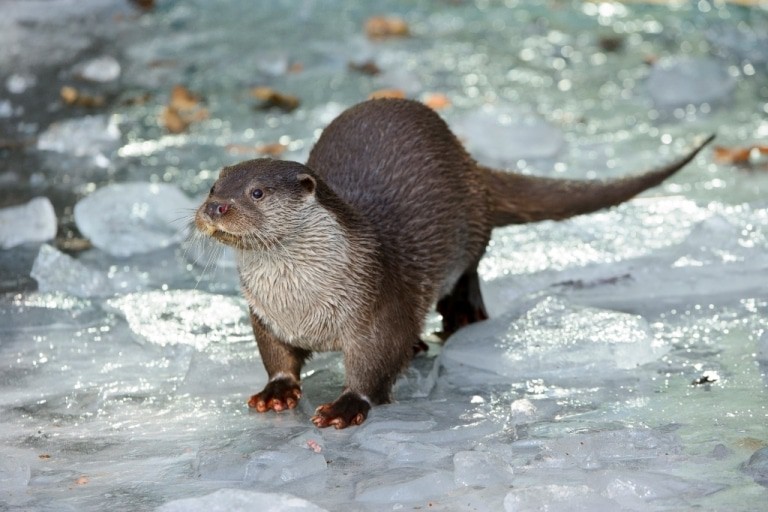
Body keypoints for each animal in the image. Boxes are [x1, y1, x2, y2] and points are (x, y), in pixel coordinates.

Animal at [195, 98, 713, 429]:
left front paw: (346, 406)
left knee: (471, 269)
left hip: (470, 229)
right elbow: (276, 356)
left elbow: (373, 363)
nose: (215, 207)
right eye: (213, 186)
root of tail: (470, 161)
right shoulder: (265, 315)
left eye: (256, 192)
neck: (303, 304)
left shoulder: (376, 305)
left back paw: (461, 317)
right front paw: (277, 391)